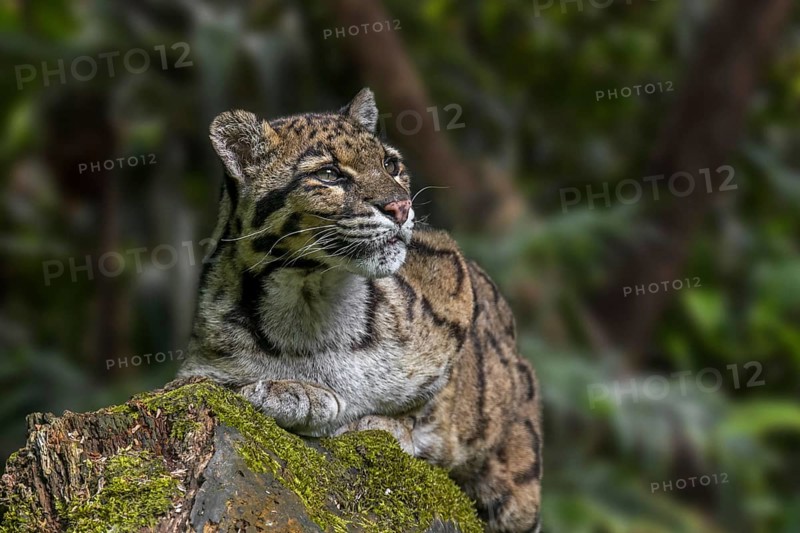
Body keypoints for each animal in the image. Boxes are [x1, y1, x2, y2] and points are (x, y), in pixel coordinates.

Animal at [178, 88, 543, 532]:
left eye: (391, 164)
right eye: (330, 174)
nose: (401, 207)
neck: (311, 296)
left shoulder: (456, 280)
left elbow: (431, 396)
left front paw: (385, 423)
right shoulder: (198, 364)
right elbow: (216, 383)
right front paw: (294, 392)